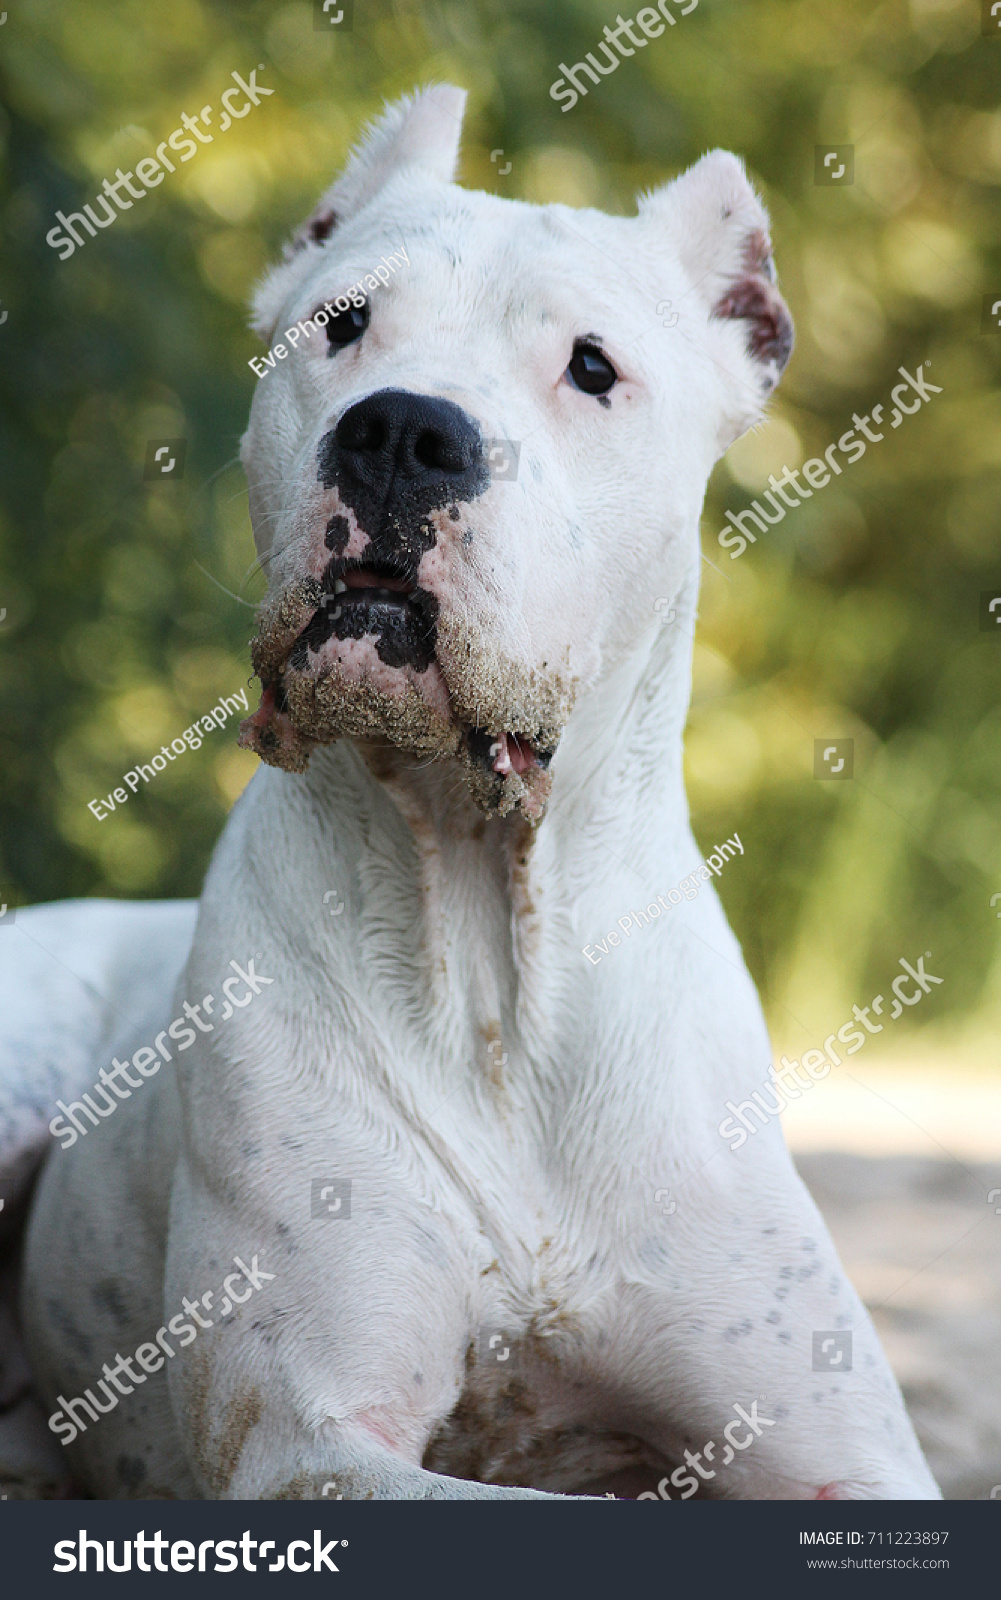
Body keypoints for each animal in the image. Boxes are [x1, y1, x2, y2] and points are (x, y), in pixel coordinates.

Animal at [0, 81, 933, 1491]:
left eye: (592, 367)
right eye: (341, 323)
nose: (400, 429)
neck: (492, 930)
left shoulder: (843, 1446)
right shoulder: (316, 1433)